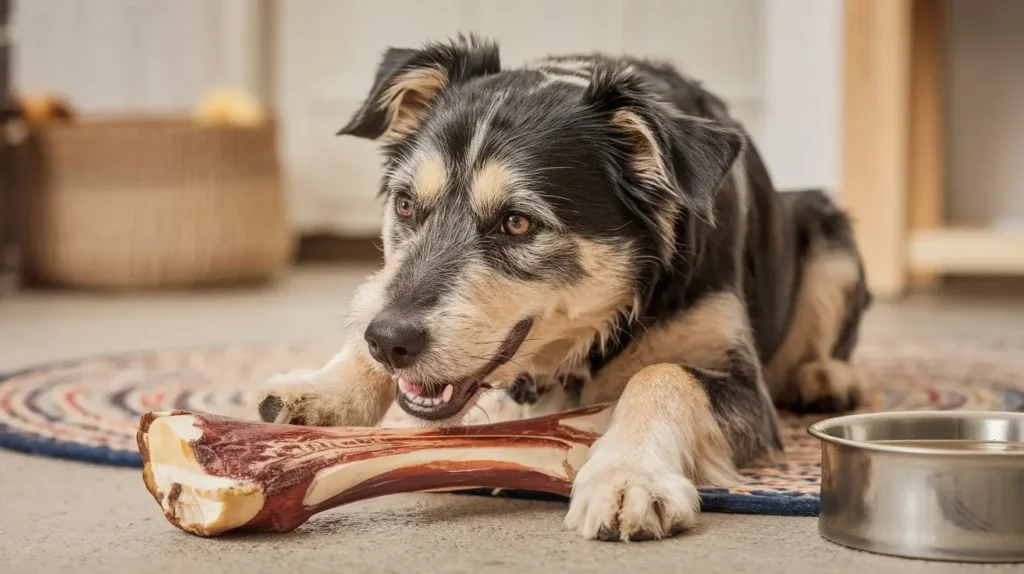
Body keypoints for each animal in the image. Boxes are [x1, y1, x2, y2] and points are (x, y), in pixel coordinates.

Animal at [258, 35, 872, 540]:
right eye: (406, 205)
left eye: (517, 223)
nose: (390, 342)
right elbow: (371, 300)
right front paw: (323, 390)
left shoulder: (743, 386)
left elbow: (664, 374)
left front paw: (627, 475)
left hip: (829, 231)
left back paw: (824, 377)